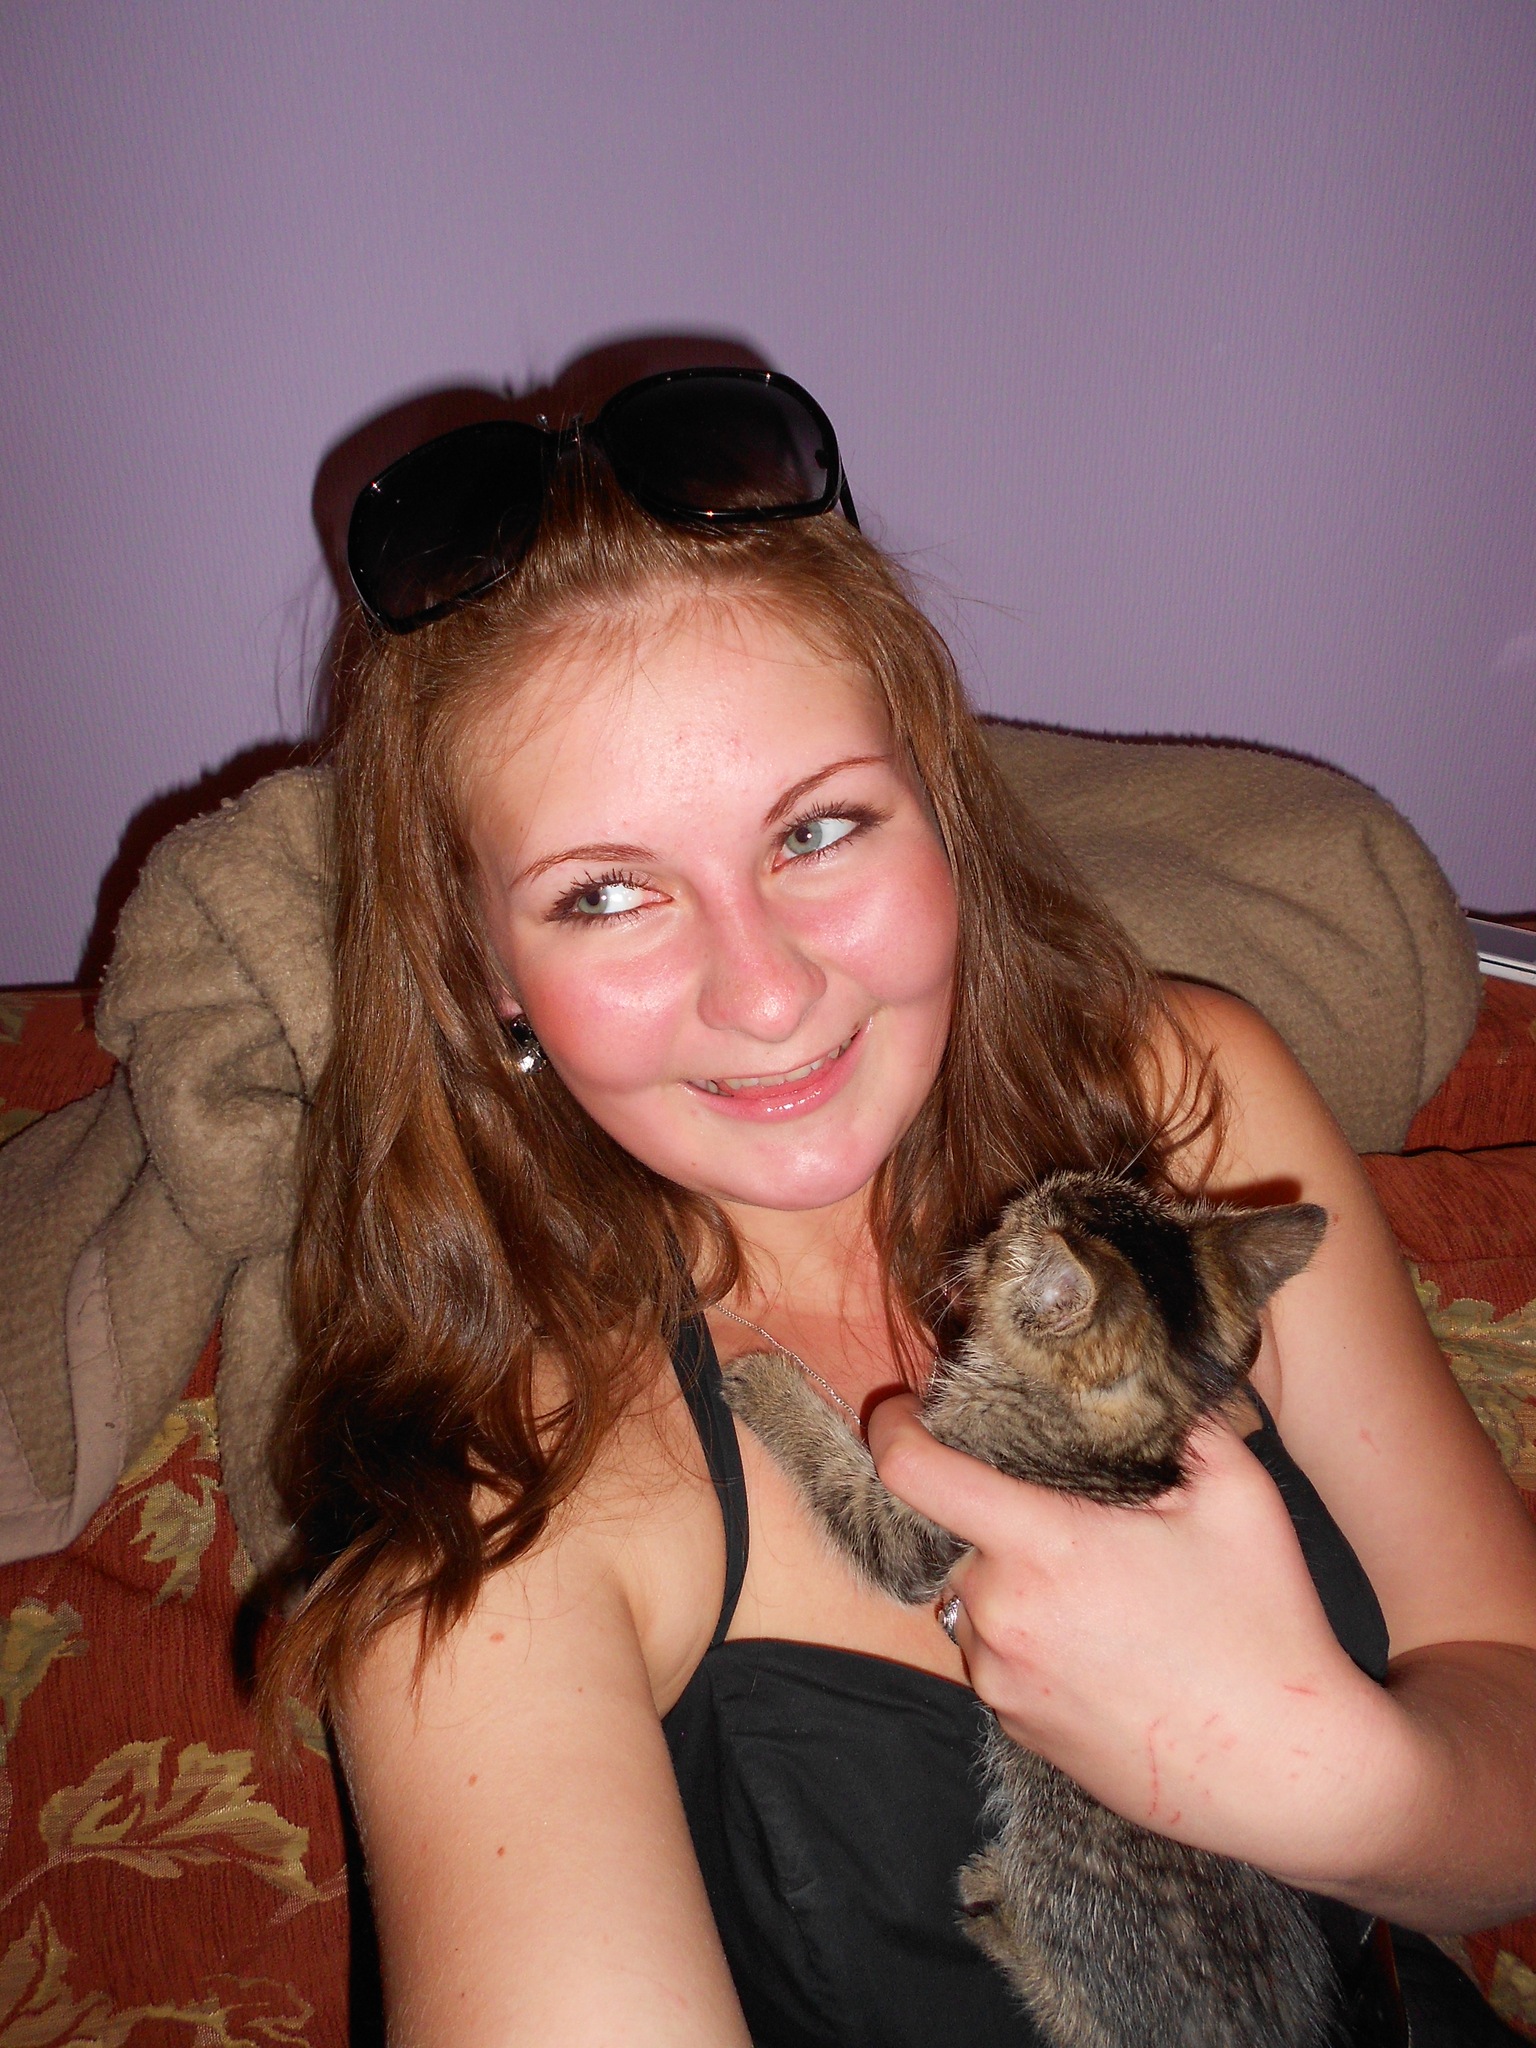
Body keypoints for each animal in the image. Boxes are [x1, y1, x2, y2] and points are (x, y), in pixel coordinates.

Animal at [720, 1169, 1337, 2048]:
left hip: (1061, 1881)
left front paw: (769, 1385)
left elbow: (844, 1481)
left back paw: (995, 1910)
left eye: (1010, 1234)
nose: (980, 1236)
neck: (1103, 1434)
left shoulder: (919, 1529)